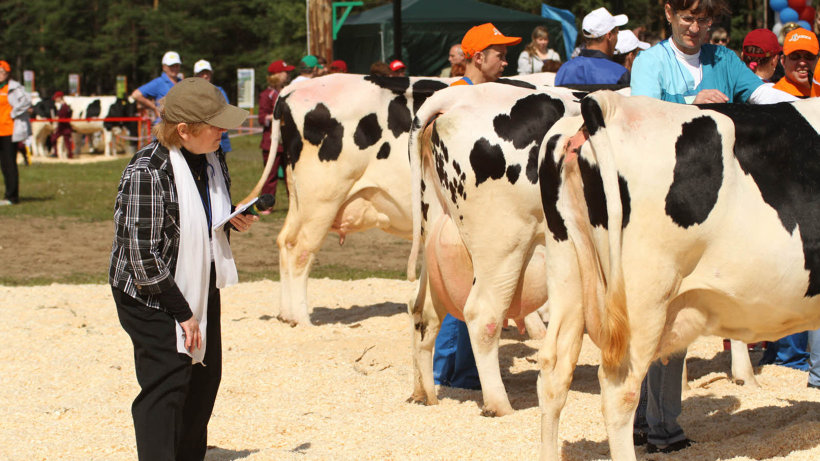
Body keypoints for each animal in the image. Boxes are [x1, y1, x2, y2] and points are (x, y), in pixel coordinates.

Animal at [406, 82, 580, 416]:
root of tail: (459, 96)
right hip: (502, 243)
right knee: (482, 315)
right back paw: (499, 405)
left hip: (435, 234)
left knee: (425, 313)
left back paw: (425, 394)